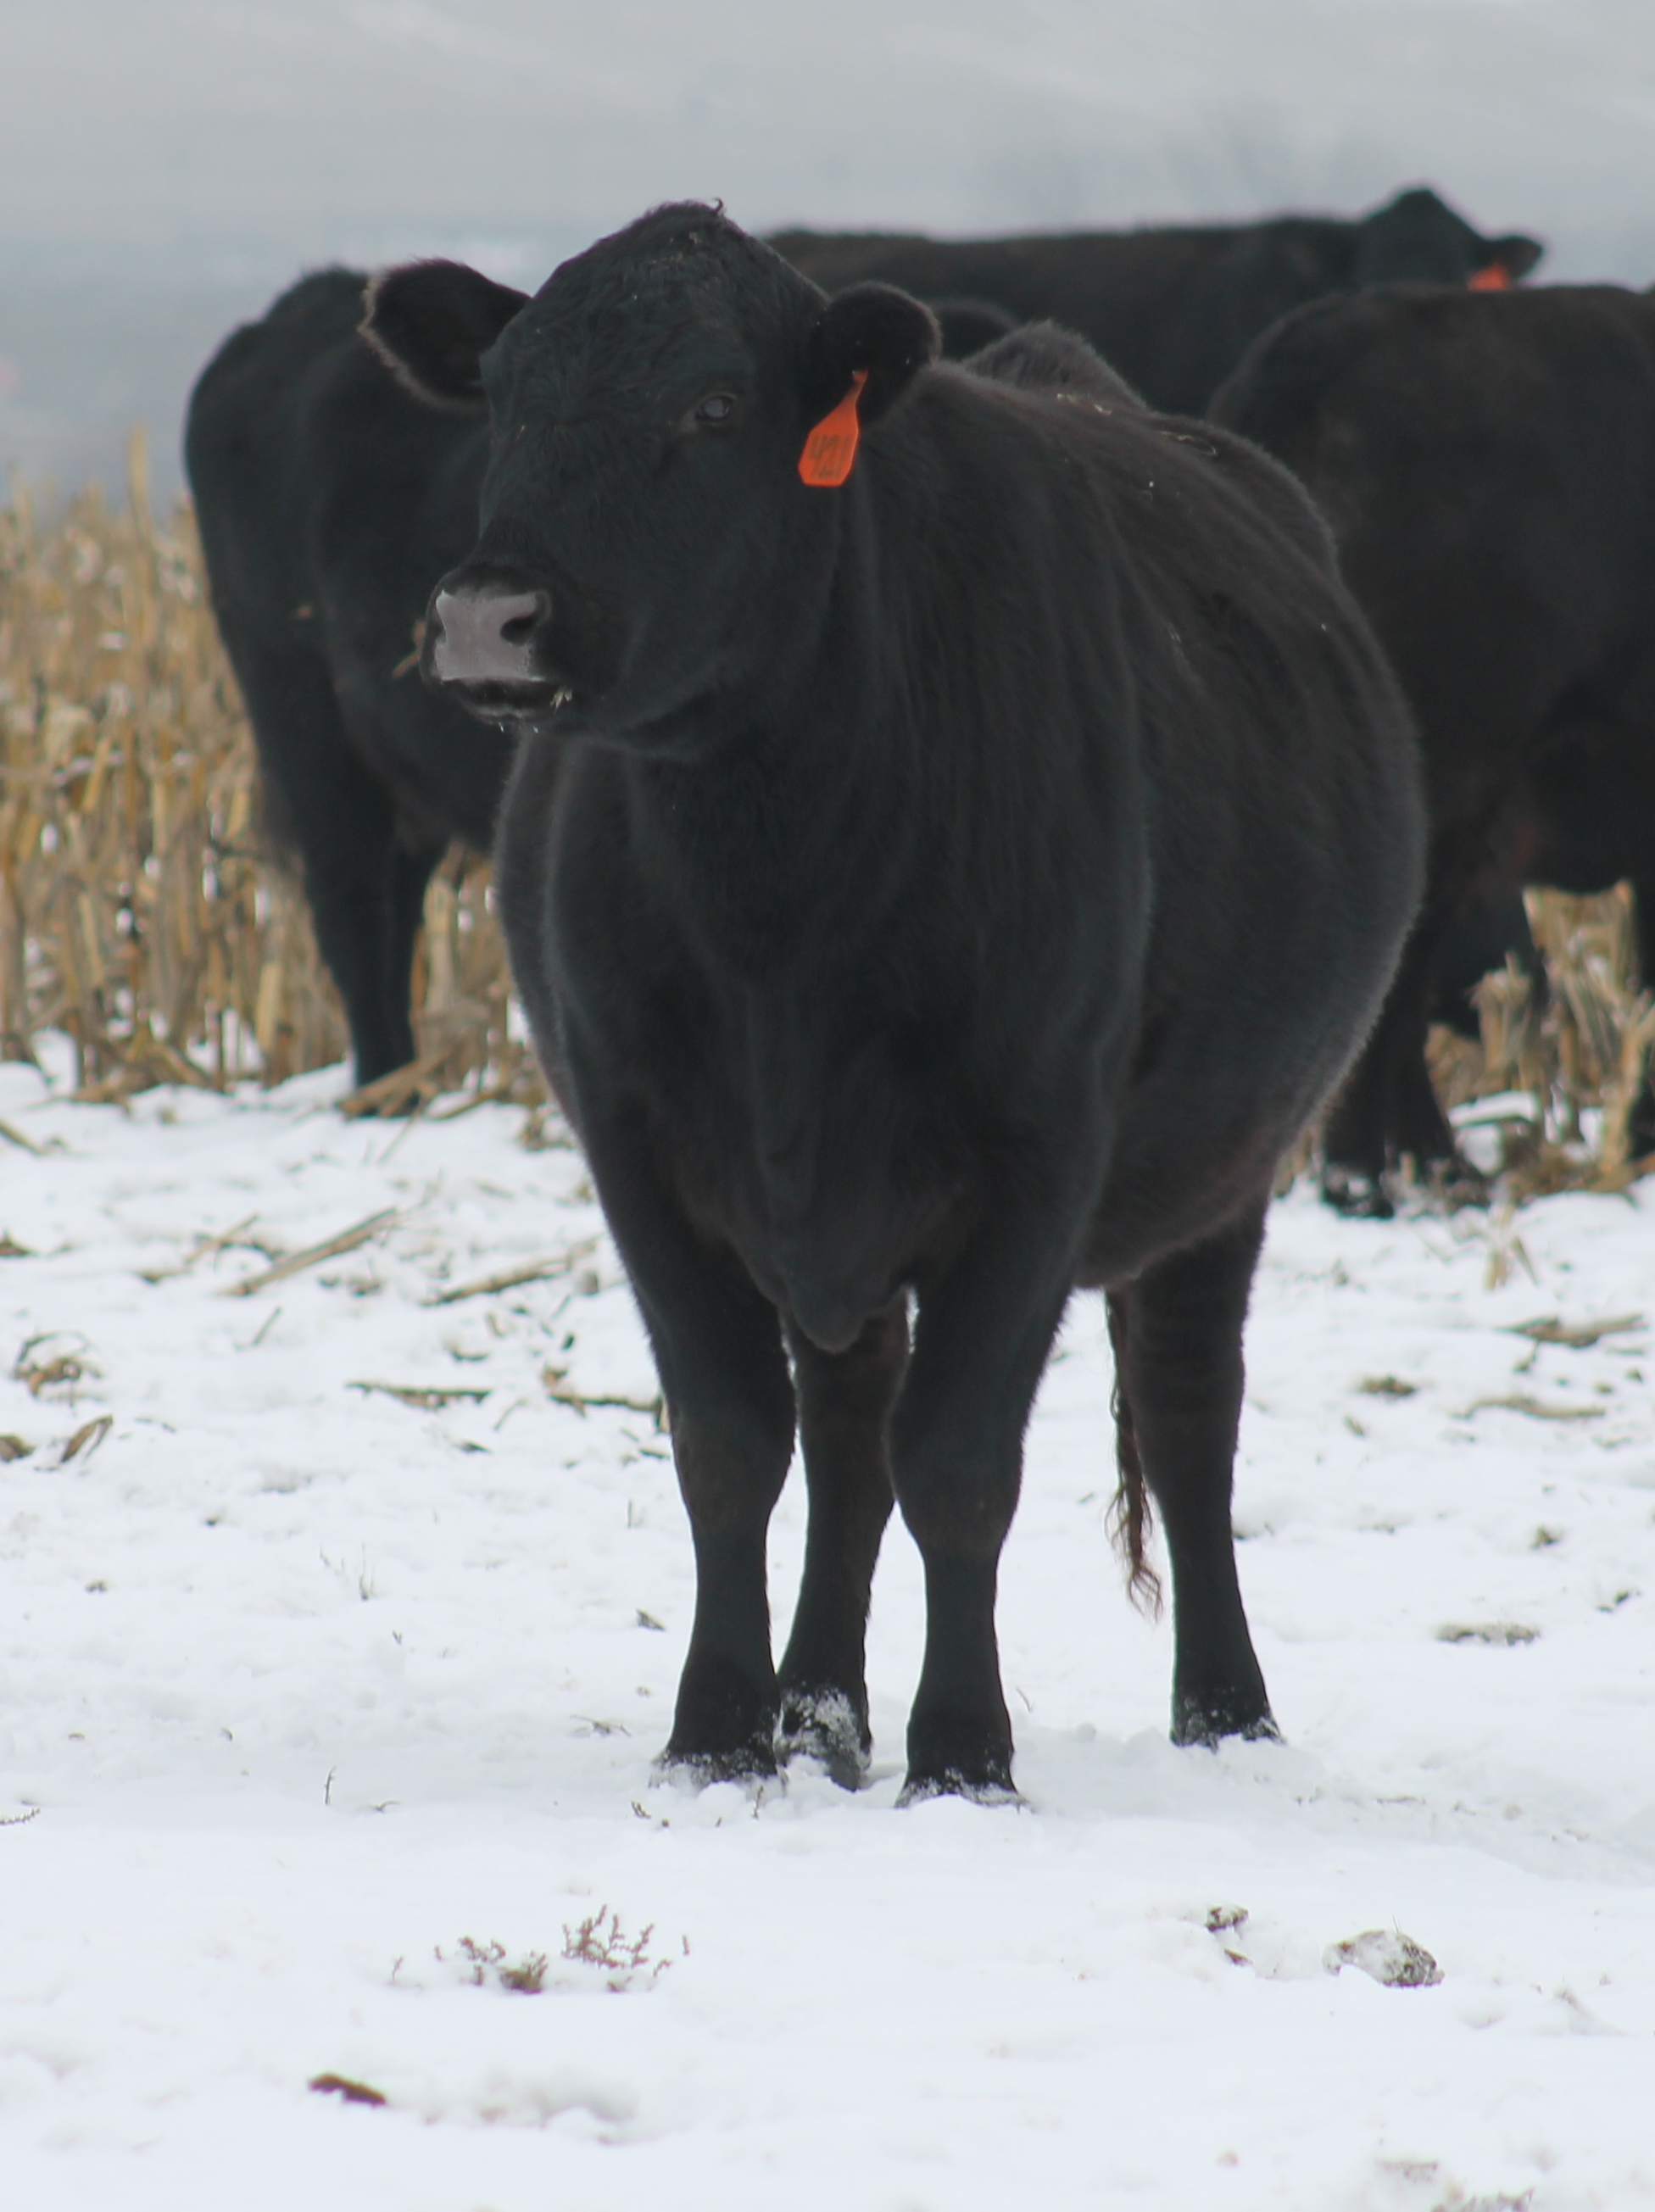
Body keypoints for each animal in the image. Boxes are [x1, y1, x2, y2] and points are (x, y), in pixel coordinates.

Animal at [362, 203, 1425, 1802]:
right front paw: (718, 1733)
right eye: (498, 393)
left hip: (1232, 1164)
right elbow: (734, 1442)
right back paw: (819, 1708)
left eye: (713, 406)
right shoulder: (634, 1136)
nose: (491, 617)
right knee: (848, 1428)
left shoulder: (1042, 1151)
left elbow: (961, 1462)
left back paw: (1223, 1714)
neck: (774, 899)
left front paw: (963, 1754)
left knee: (1185, 1415)